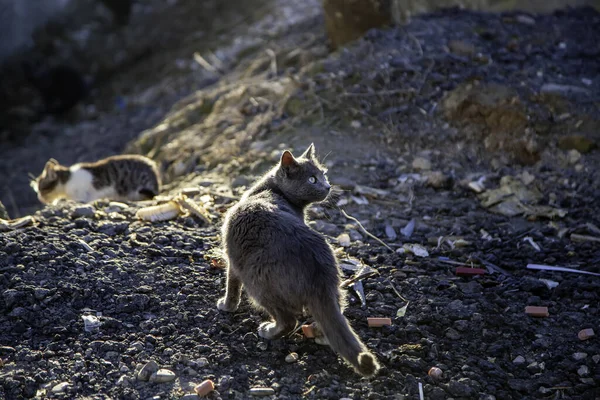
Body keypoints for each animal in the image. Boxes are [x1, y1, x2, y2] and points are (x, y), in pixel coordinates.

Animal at [218, 145, 382, 378]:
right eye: (313, 179)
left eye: (323, 174)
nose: (327, 185)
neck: (268, 191)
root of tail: (319, 274)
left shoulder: (233, 258)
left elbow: (231, 285)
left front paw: (226, 306)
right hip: (334, 284)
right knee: (335, 312)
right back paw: (321, 336)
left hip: (259, 283)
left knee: (288, 320)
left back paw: (268, 331)